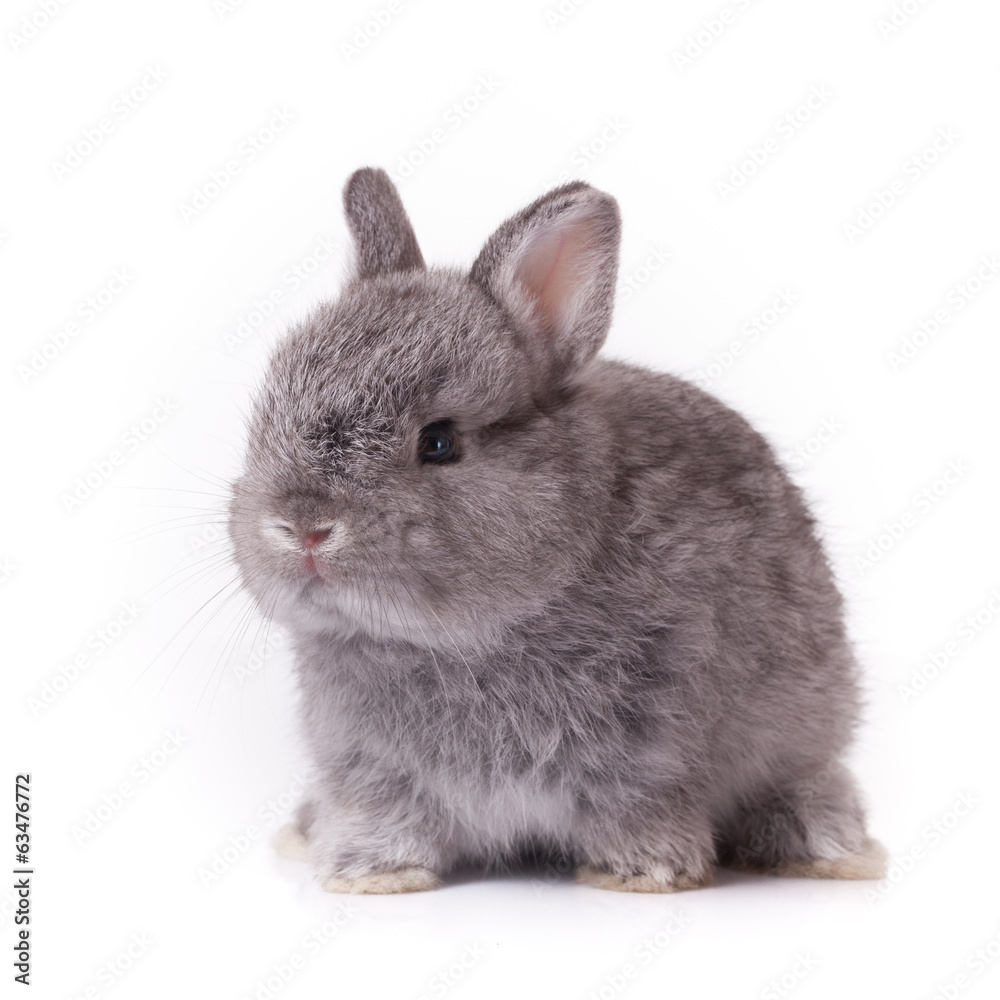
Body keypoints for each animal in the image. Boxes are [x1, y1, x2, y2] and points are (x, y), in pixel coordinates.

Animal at [228, 167, 886, 894]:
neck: (463, 638)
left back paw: (828, 849)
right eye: (268, 416)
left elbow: (641, 807)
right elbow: (383, 817)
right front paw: (371, 875)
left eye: (439, 442)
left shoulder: (651, 754)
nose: (303, 527)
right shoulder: (370, 769)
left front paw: (644, 873)